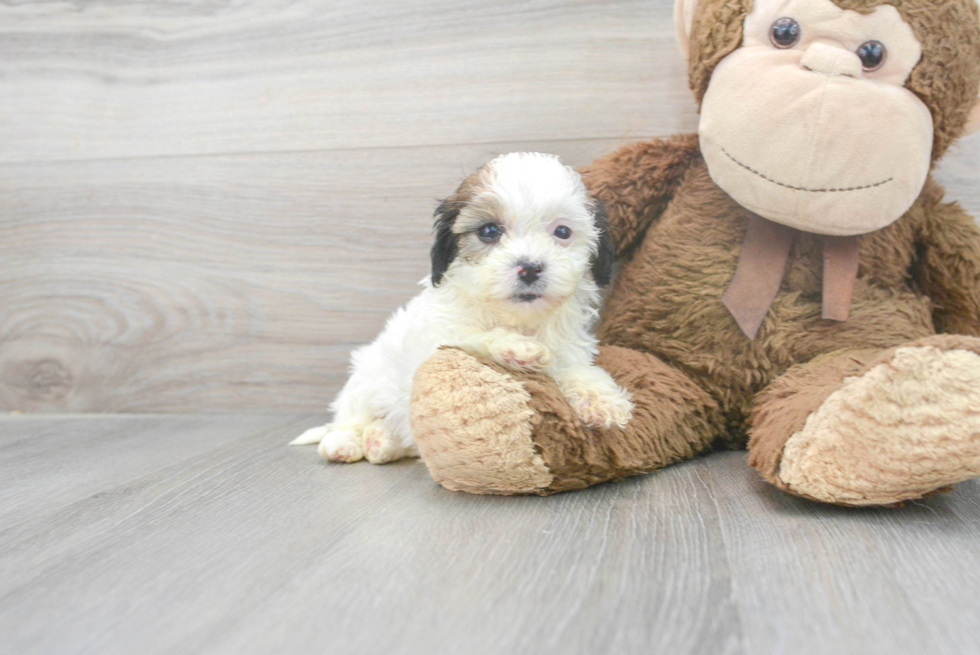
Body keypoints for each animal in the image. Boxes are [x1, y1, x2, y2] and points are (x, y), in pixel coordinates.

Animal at [290, 151, 636, 464]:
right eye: (489, 231)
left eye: (562, 231)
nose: (530, 268)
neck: (516, 318)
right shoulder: (437, 341)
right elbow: (472, 337)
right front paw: (517, 348)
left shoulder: (568, 348)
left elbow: (577, 369)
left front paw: (601, 399)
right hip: (366, 379)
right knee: (350, 418)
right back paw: (345, 443)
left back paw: (381, 442)